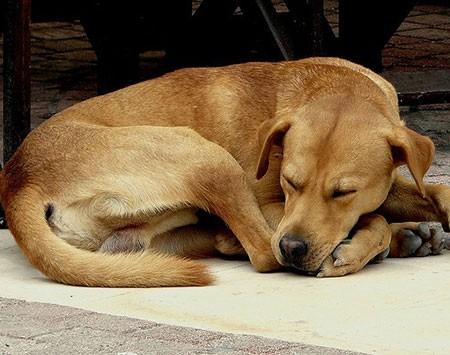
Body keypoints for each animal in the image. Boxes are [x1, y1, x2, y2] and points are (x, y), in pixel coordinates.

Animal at [0, 57, 450, 286]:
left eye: (344, 192)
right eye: (290, 182)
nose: (294, 248)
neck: (331, 86)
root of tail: (19, 179)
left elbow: (430, 193)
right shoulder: (273, 209)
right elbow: (371, 219)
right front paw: (359, 249)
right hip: (208, 157)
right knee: (260, 252)